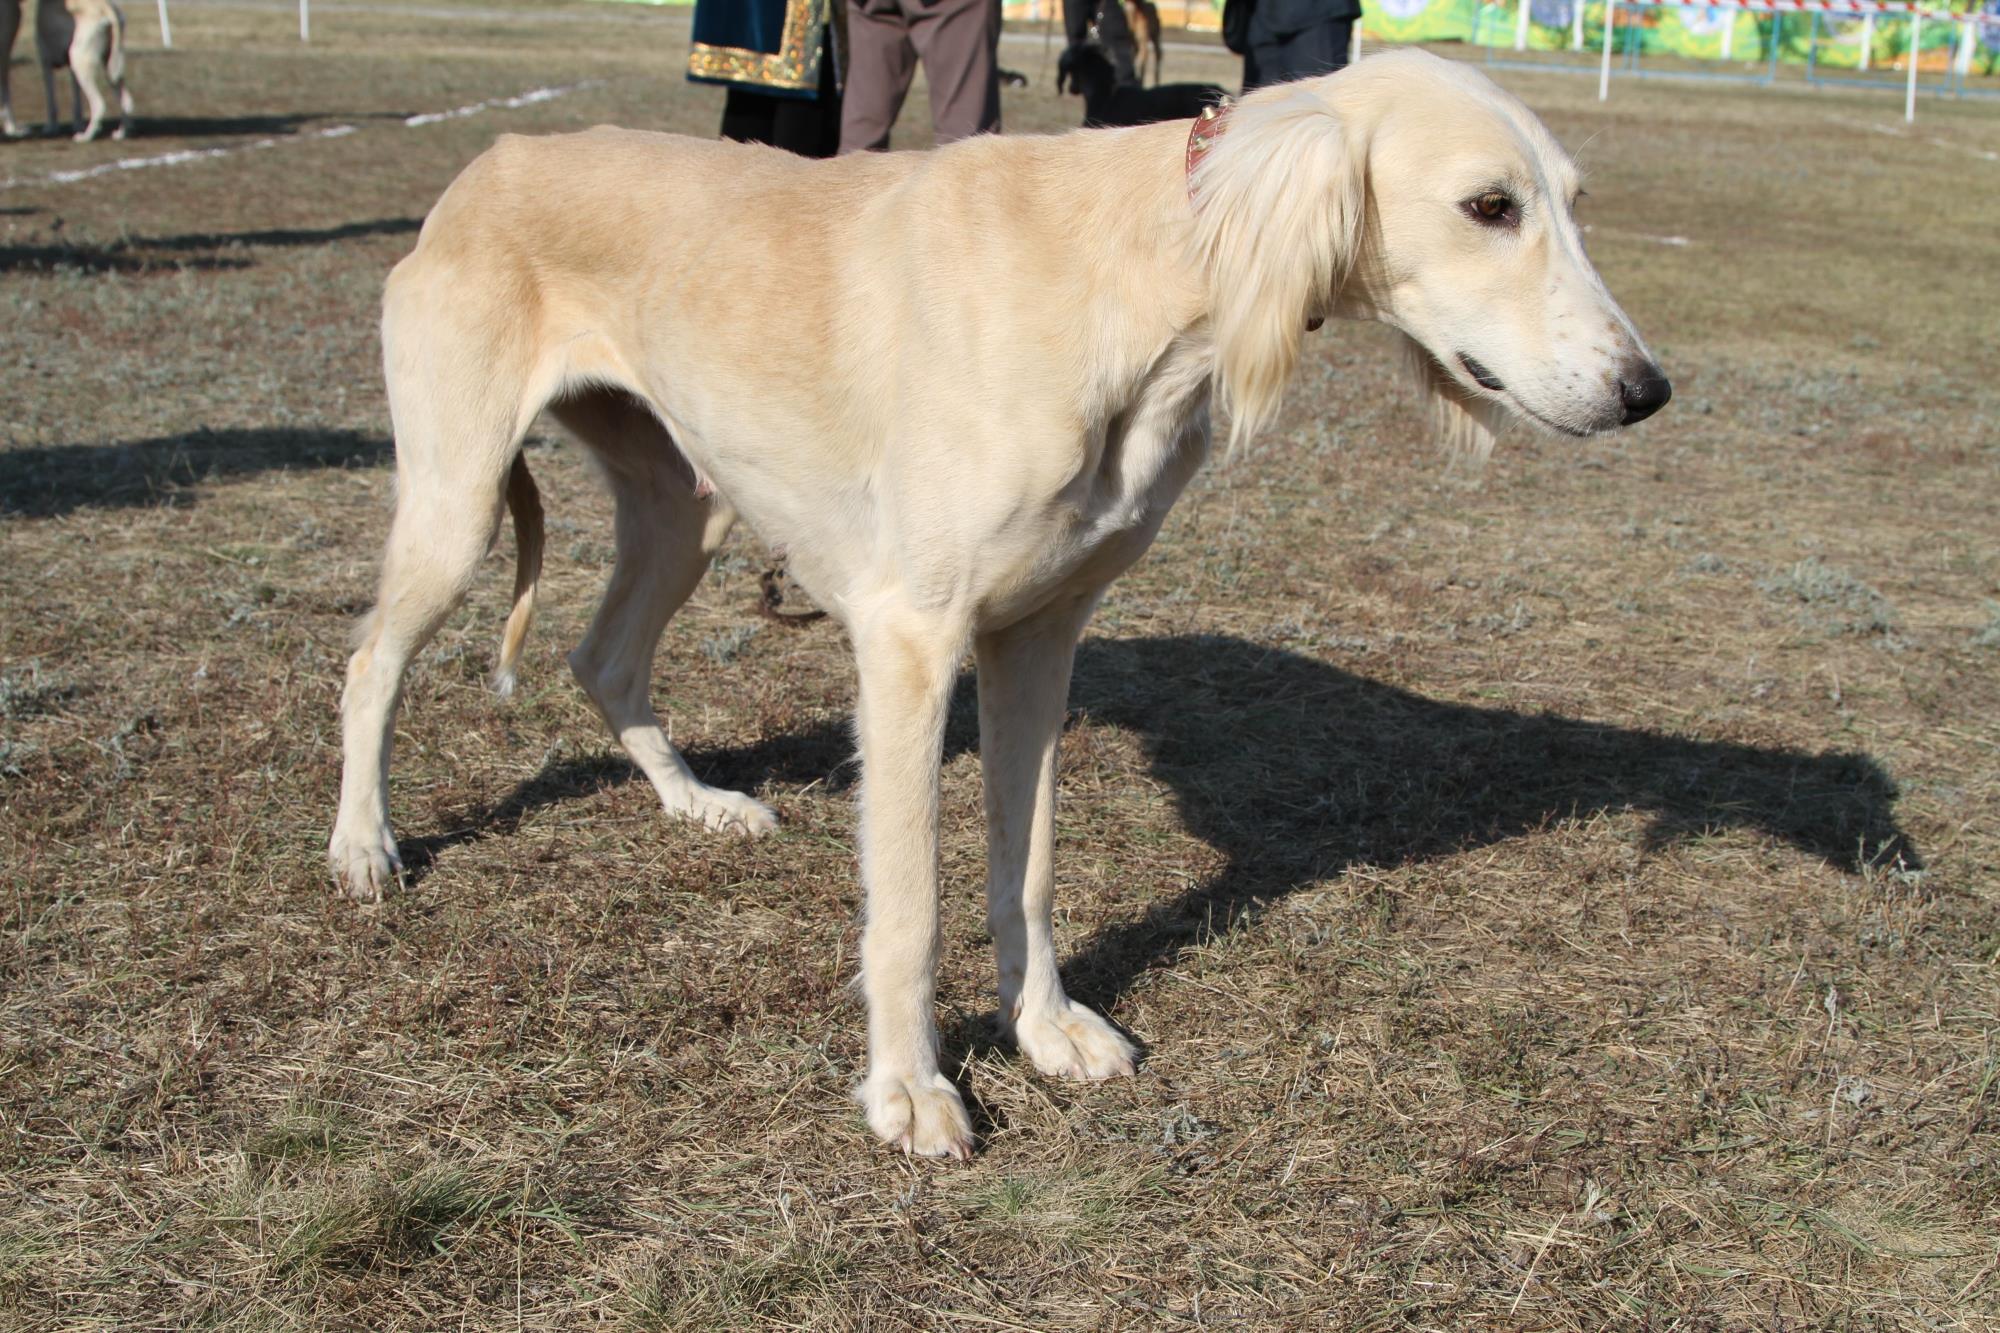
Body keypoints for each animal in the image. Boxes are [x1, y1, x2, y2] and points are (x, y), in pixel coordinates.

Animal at [332, 52, 1672, 1152]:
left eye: (1570, 201)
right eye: (1488, 205)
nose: (1646, 390)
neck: (1131, 265)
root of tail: (489, 161)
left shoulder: (1036, 634)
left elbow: (1024, 867)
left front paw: (1046, 1029)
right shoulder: (909, 640)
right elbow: (909, 906)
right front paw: (909, 1091)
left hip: (684, 507)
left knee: (603, 656)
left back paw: (694, 802)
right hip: (458, 501)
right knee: (369, 662)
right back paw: (362, 845)